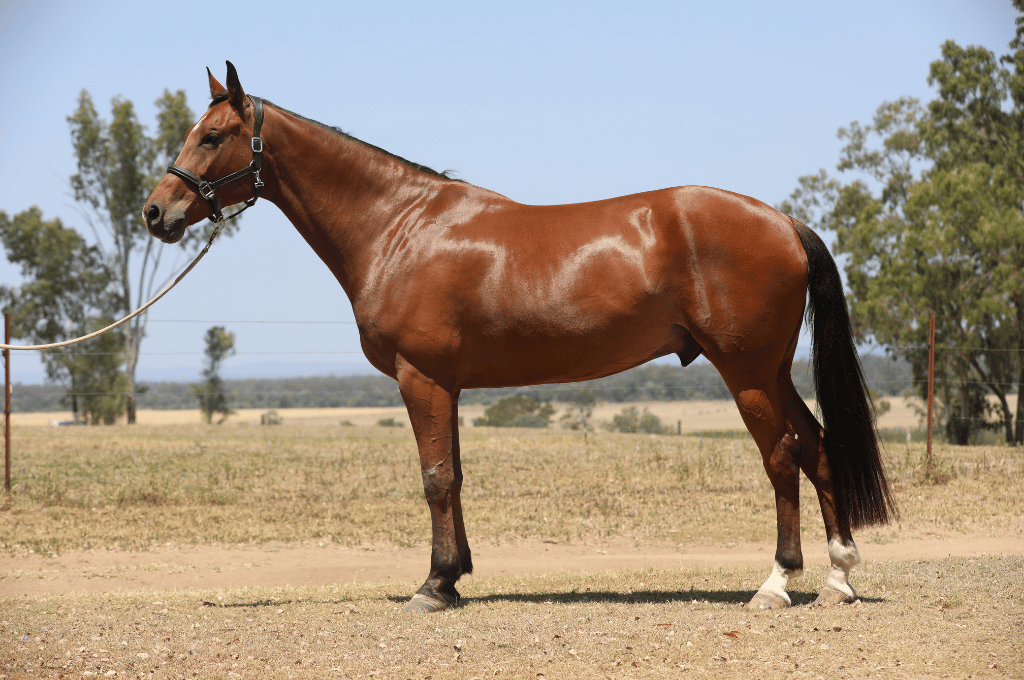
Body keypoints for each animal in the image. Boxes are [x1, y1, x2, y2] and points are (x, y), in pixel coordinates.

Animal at [144, 62, 896, 612]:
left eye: (211, 137)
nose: (156, 212)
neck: (399, 226)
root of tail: (782, 221)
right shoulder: (446, 384)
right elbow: (454, 474)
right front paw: (453, 576)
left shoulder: (421, 377)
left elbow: (435, 478)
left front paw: (433, 587)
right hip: (770, 370)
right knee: (818, 448)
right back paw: (839, 579)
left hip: (744, 371)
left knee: (782, 456)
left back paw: (775, 585)